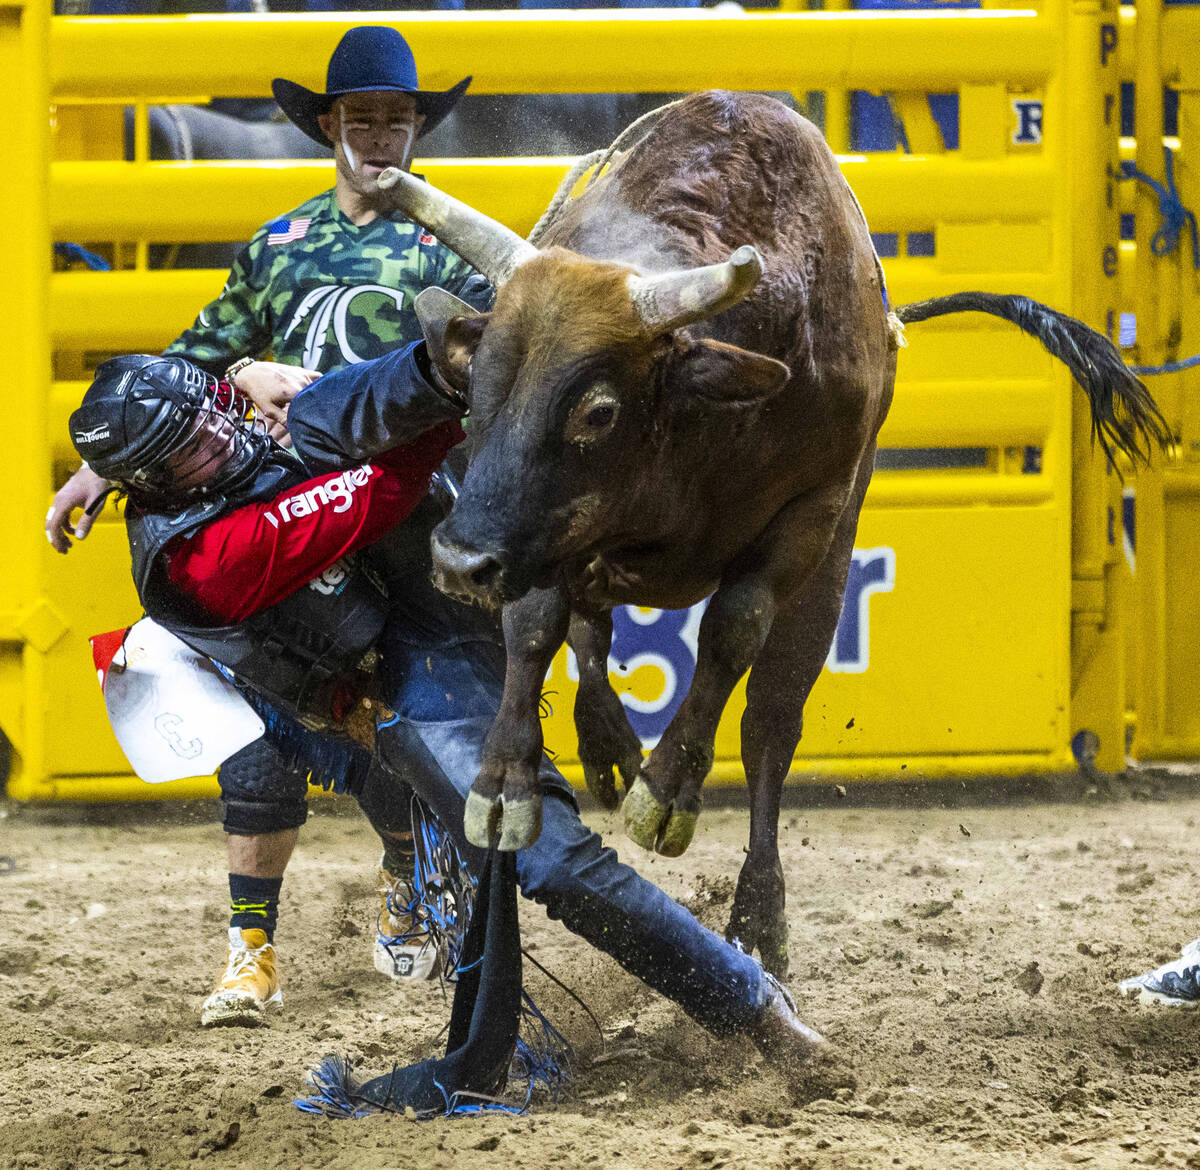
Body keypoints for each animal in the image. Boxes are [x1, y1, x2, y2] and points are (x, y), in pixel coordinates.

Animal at [379, 91, 1166, 979]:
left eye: (598, 410)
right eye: (476, 386)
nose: (458, 560)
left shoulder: (810, 516)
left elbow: (735, 635)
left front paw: (668, 793)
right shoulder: (541, 529)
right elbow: (536, 625)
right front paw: (504, 785)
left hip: (824, 577)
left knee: (769, 724)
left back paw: (756, 914)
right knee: (592, 635)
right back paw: (608, 745)